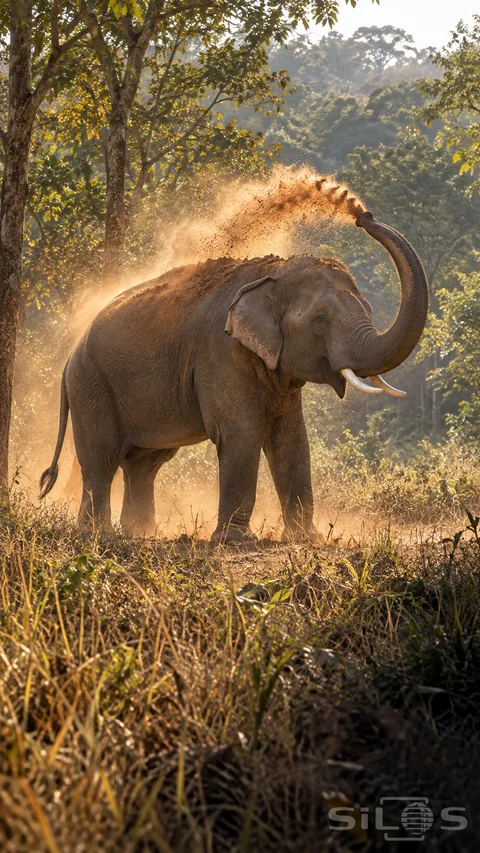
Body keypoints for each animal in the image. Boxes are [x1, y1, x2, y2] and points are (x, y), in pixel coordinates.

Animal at [40, 210, 428, 543]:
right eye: (320, 320)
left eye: (369, 309)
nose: (364, 215)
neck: (272, 275)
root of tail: (69, 356)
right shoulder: (220, 352)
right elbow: (241, 432)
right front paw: (236, 540)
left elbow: (291, 438)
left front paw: (307, 538)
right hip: (90, 384)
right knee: (101, 459)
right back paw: (98, 535)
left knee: (145, 463)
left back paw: (143, 534)